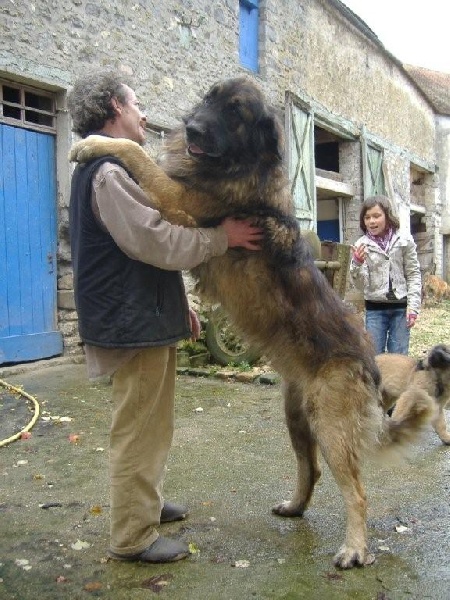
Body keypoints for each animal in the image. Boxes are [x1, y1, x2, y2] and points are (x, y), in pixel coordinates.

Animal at [67, 75, 432, 568]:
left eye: (236, 112)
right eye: (210, 98)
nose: (193, 128)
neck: (238, 165)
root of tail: (371, 365)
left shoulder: (178, 197)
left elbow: (135, 153)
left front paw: (93, 143)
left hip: (331, 425)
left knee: (356, 492)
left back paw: (355, 548)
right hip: (297, 417)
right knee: (311, 469)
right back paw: (295, 507)